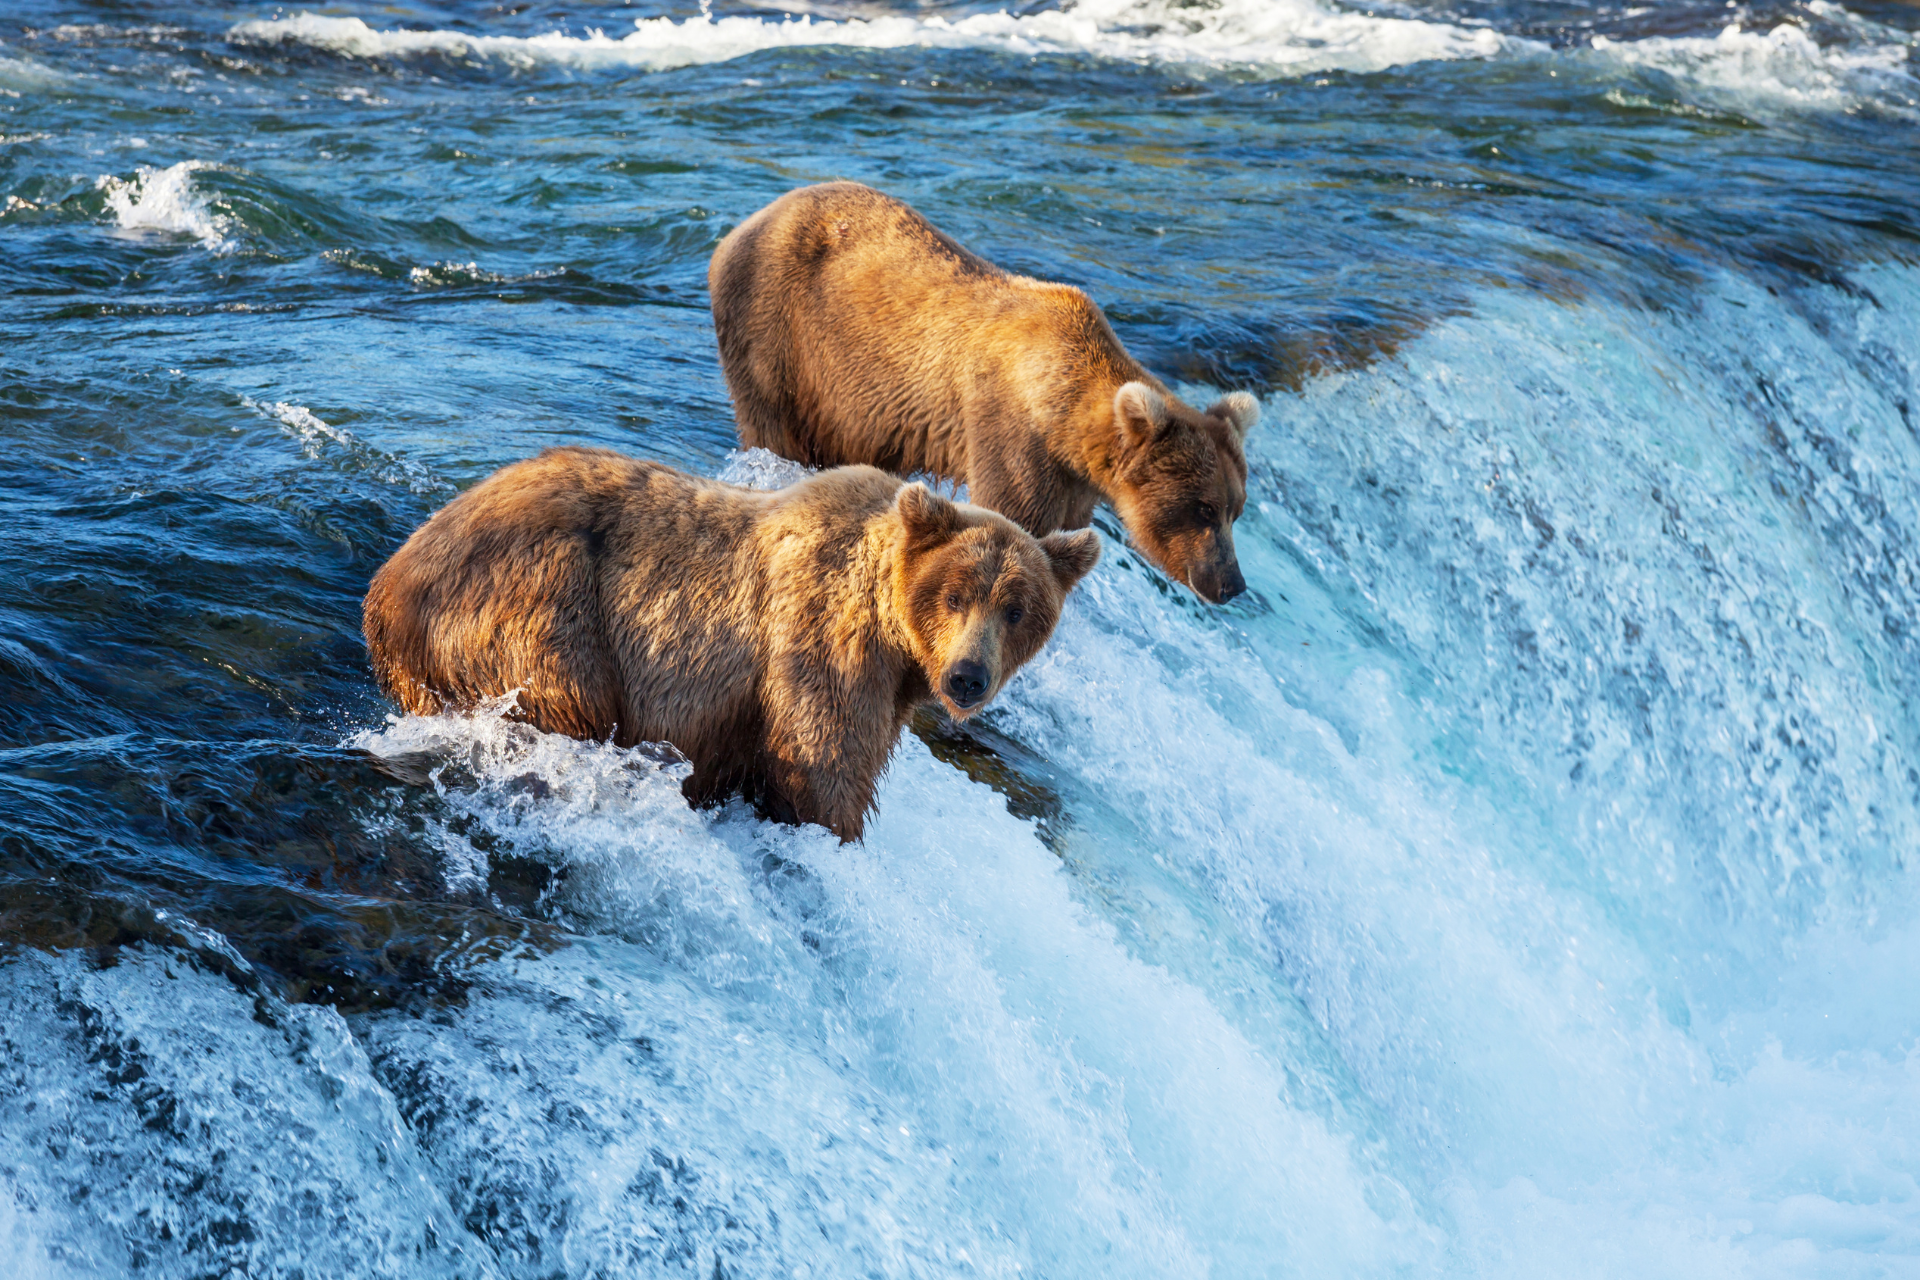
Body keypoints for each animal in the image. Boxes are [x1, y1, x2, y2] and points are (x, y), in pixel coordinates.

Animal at [362, 447, 1100, 842]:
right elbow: (822, 765)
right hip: (539, 606)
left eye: (1017, 609)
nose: (968, 677)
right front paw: (835, 832)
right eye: (954, 595)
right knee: (565, 698)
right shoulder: (821, 643)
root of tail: (388, 583)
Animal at [708, 181, 1261, 604]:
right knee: (775, 427)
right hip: (780, 334)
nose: (1232, 583)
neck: (1062, 413)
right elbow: (1014, 515)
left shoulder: (1073, 479)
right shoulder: (1011, 431)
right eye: (1203, 508)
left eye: (1236, 509)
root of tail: (740, 227)